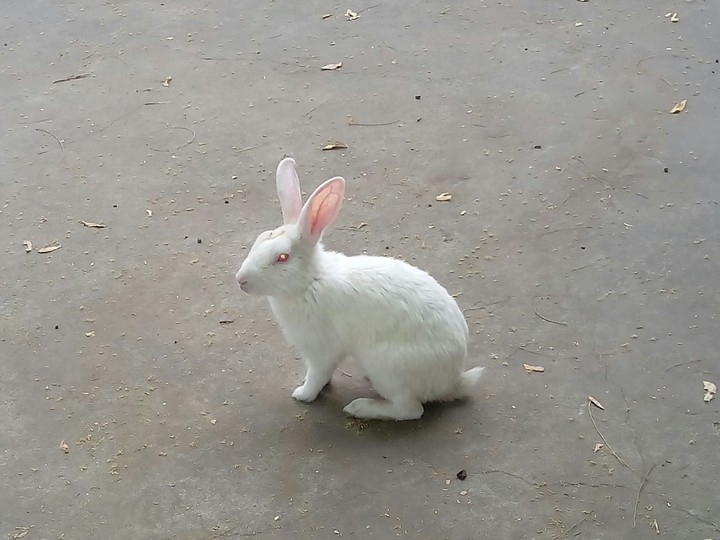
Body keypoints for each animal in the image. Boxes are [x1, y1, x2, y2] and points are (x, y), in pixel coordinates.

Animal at [235, 157, 485, 420]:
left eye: (282, 257)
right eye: (260, 239)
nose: (241, 280)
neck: (310, 281)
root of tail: (453, 380)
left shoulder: (320, 350)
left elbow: (317, 374)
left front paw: (302, 394)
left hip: (386, 367)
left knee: (410, 409)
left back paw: (359, 407)